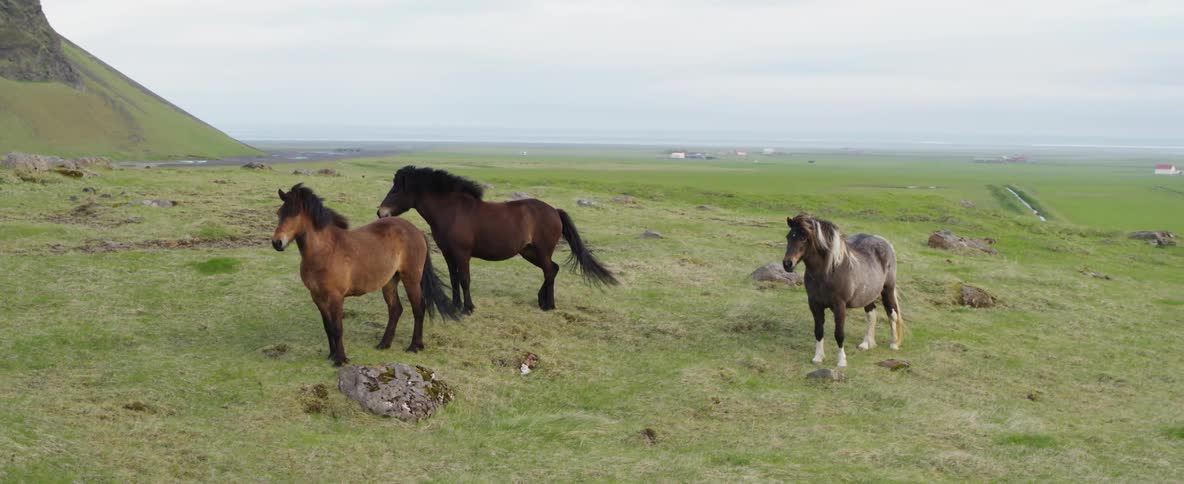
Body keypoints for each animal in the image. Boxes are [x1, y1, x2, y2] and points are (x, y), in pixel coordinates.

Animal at [271, 183, 461, 365]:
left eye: (295, 214)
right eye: (279, 213)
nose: (277, 243)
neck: (325, 251)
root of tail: (417, 231)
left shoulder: (335, 297)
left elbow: (337, 328)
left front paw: (341, 359)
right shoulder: (317, 297)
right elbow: (328, 327)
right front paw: (332, 355)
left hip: (411, 279)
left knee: (418, 308)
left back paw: (414, 346)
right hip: (390, 281)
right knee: (395, 309)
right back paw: (384, 344)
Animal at [376, 165, 618, 313]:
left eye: (396, 190)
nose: (380, 212)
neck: (453, 211)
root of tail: (554, 211)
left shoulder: (462, 254)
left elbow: (464, 279)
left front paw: (468, 308)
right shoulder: (448, 253)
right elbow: (454, 279)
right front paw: (455, 306)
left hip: (541, 250)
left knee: (550, 270)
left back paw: (548, 304)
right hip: (529, 252)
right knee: (553, 269)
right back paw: (543, 300)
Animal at [782, 213, 904, 368]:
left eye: (803, 238)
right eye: (788, 236)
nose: (787, 264)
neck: (828, 272)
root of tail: (884, 242)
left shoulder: (839, 306)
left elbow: (839, 333)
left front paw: (841, 361)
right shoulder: (815, 305)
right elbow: (818, 331)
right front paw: (818, 357)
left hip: (887, 290)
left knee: (892, 313)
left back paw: (894, 344)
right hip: (867, 295)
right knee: (871, 315)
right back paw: (866, 344)